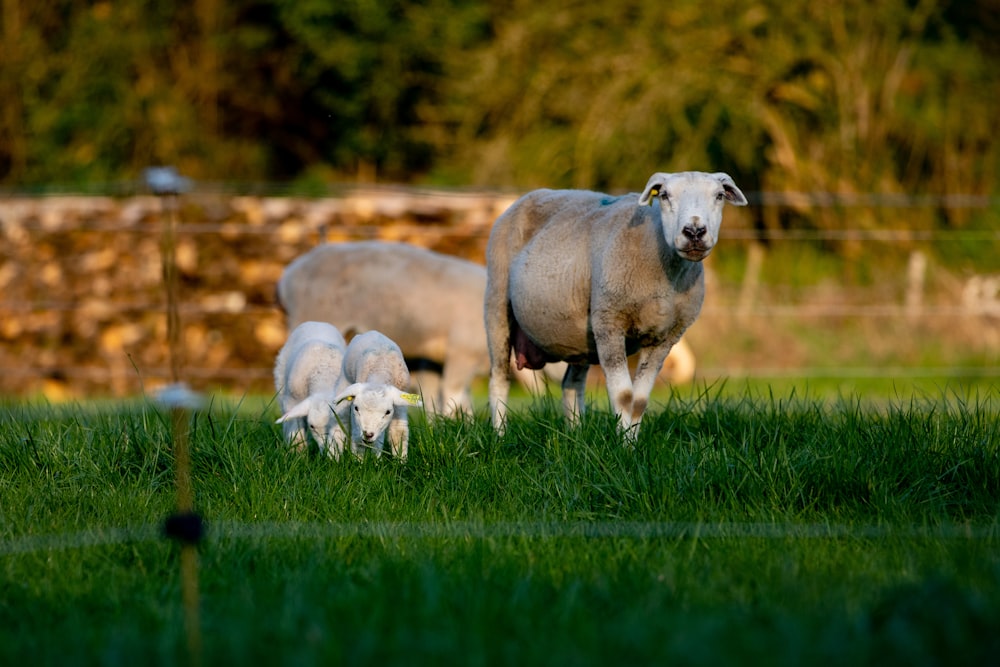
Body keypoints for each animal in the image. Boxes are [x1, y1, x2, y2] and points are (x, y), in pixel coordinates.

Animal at [274, 320, 352, 456]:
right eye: (312, 426)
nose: (326, 453)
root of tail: (318, 322)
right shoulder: (292, 400)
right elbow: (296, 429)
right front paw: (298, 452)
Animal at [340, 328, 422, 460]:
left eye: (388, 412)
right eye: (356, 408)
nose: (368, 434)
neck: (381, 369)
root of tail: (371, 332)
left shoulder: (400, 405)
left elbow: (399, 433)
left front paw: (400, 461)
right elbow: (358, 439)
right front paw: (358, 461)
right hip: (345, 378)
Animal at [480, 172, 748, 440]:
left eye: (719, 195)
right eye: (664, 195)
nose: (694, 231)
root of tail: (527, 196)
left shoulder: (665, 338)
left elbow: (639, 400)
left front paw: (632, 442)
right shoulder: (610, 322)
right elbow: (624, 396)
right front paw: (622, 443)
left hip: (582, 335)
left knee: (571, 384)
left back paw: (575, 435)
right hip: (497, 300)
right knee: (499, 379)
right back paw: (500, 435)